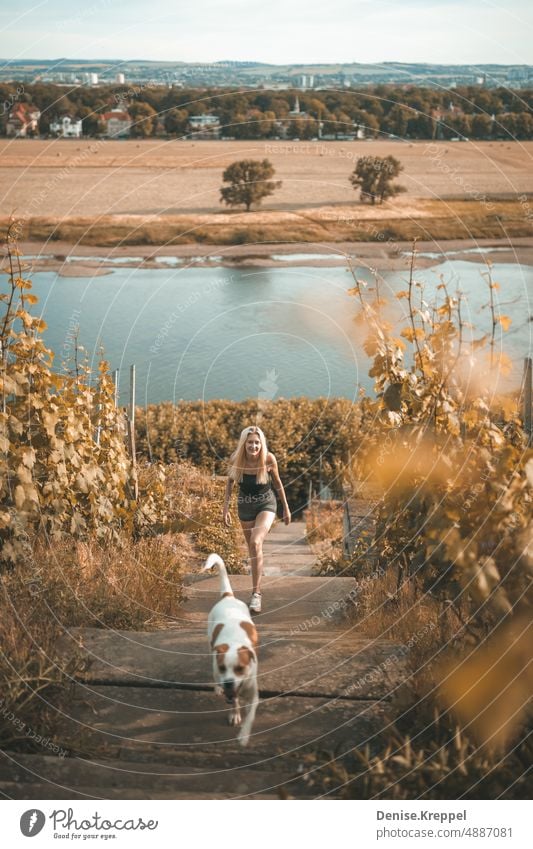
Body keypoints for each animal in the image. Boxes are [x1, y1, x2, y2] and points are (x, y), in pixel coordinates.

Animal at [202, 548, 260, 744]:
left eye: (240, 668)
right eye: (223, 668)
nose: (228, 682)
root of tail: (228, 596)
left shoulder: (253, 693)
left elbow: (251, 714)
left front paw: (244, 734)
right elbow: (234, 702)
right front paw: (235, 715)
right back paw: (218, 687)